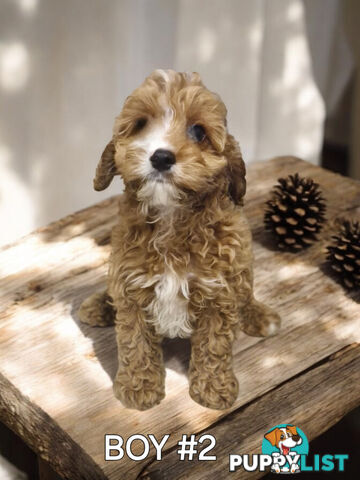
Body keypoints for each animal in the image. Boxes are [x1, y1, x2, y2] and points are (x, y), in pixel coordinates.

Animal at [79, 69, 282, 410]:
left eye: (198, 132)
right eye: (140, 124)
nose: (161, 157)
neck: (171, 217)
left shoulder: (219, 292)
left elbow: (215, 345)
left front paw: (213, 389)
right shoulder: (131, 284)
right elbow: (134, 341)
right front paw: (138, 388)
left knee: (246, 293)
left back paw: (259, 315)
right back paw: (100, 306)